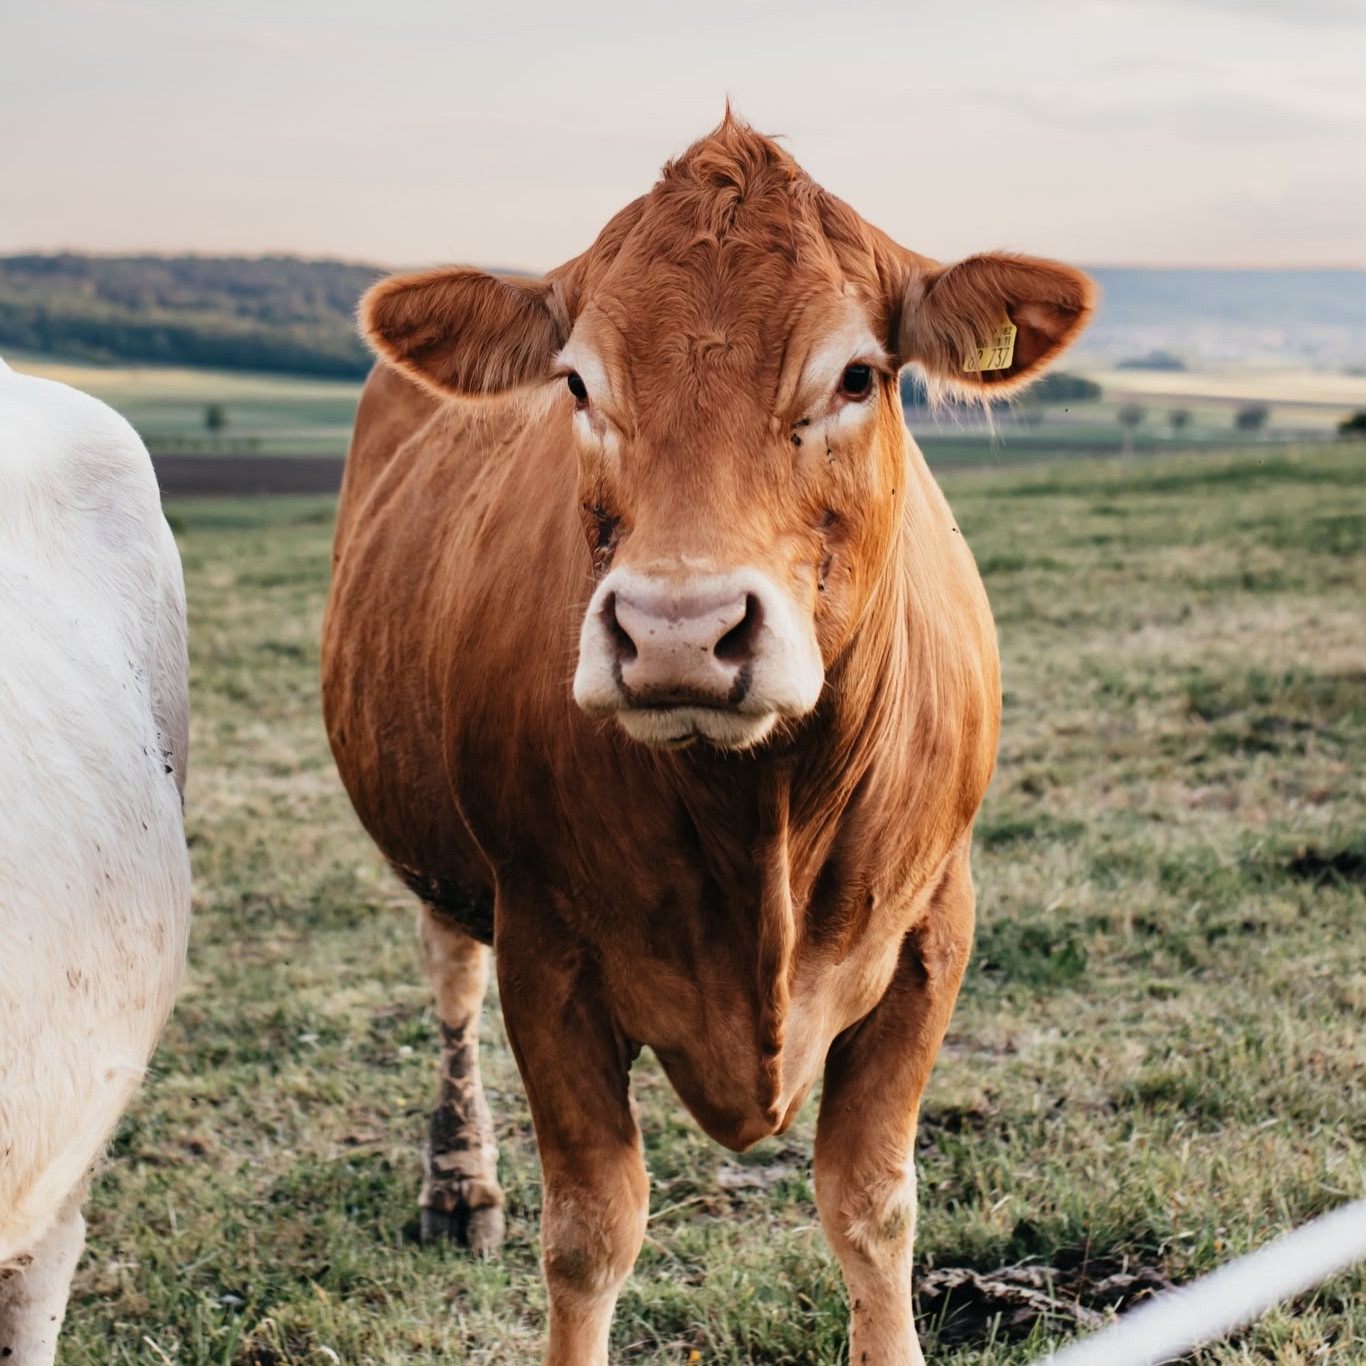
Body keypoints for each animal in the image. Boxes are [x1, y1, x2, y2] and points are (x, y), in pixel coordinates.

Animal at [322, 114, 1093, 1365]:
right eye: (575, 381)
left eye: (857, 376)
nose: (678, 629)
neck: (760, 810)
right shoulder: (546, 952)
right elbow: (590, 1233)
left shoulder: (934, 928)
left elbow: (871, 1205)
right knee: (447, 978)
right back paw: (459, 1183)